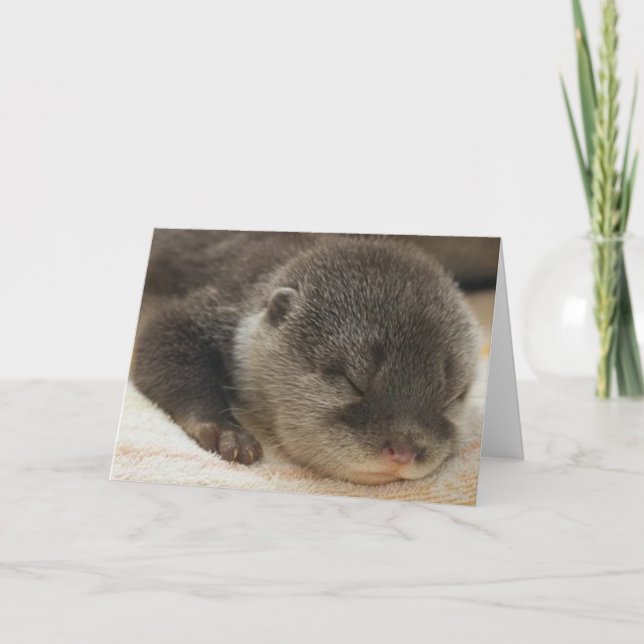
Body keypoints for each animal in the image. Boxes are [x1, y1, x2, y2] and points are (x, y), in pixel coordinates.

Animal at [132, 230, 480, 485]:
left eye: (450, 398)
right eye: (352, 382)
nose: (404, 450)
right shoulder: (217, 303)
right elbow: (158, 338)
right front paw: (225, 431)